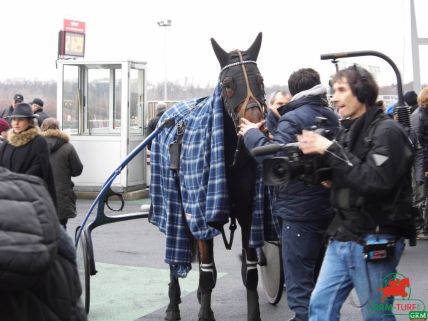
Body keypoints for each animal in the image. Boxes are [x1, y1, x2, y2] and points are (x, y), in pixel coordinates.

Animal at [150, 32, 278, 320]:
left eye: (261, 80)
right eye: (228, 84)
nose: (258, 125)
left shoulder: (248, 213)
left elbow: (250, 271)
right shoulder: (199, 211)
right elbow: (208, 273)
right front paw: (203, 312)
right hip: (174, 207)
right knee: (175, 257)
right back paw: (173, 305)